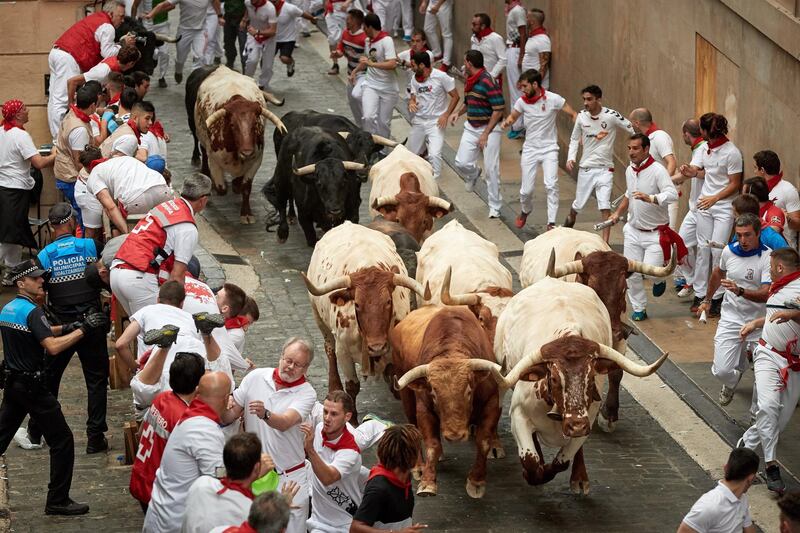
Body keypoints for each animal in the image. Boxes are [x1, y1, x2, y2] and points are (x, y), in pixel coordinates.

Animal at [186, 65, 286, 223]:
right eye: (232, 125)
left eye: (255, 123)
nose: (247, 152)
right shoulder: (214, 160)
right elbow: (221, 188)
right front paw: (216, 184)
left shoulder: (256, 161)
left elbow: (245, 187)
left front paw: (246, 213)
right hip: (196, 129)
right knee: (201, 149)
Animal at [300, 221, 428, 420]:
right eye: (357, 304)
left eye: (388, 301)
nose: (376, 347)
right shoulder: (343, 351)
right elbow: (352, 386)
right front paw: (351, 419)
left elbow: (397, 381)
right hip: (320, 320)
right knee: (329, 351)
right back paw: (334, 385)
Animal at [392, 304, 504, 498]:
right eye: (433, 393)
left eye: (469, 390)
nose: (455, 435)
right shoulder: (424, 409)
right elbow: (432, 445)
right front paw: (427, 482)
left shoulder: (492, 403)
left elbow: (483, 441)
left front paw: (476, 481)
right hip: (407, 397)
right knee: (413, 428)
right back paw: (418, 467)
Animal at [496, 280, 664, 492]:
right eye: (554, 379)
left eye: (591, 377)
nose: (576, 425)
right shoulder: (518, 414)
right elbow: (531, 462)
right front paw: (534, 469)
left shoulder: (588, 421)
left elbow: (561, 462)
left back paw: (580, 478)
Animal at [520, 227, 676, 430]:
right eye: (592, 289)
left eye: (624, 289)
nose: (614, 331)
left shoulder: (620, 340)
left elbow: (617, 371)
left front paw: (609, 414)